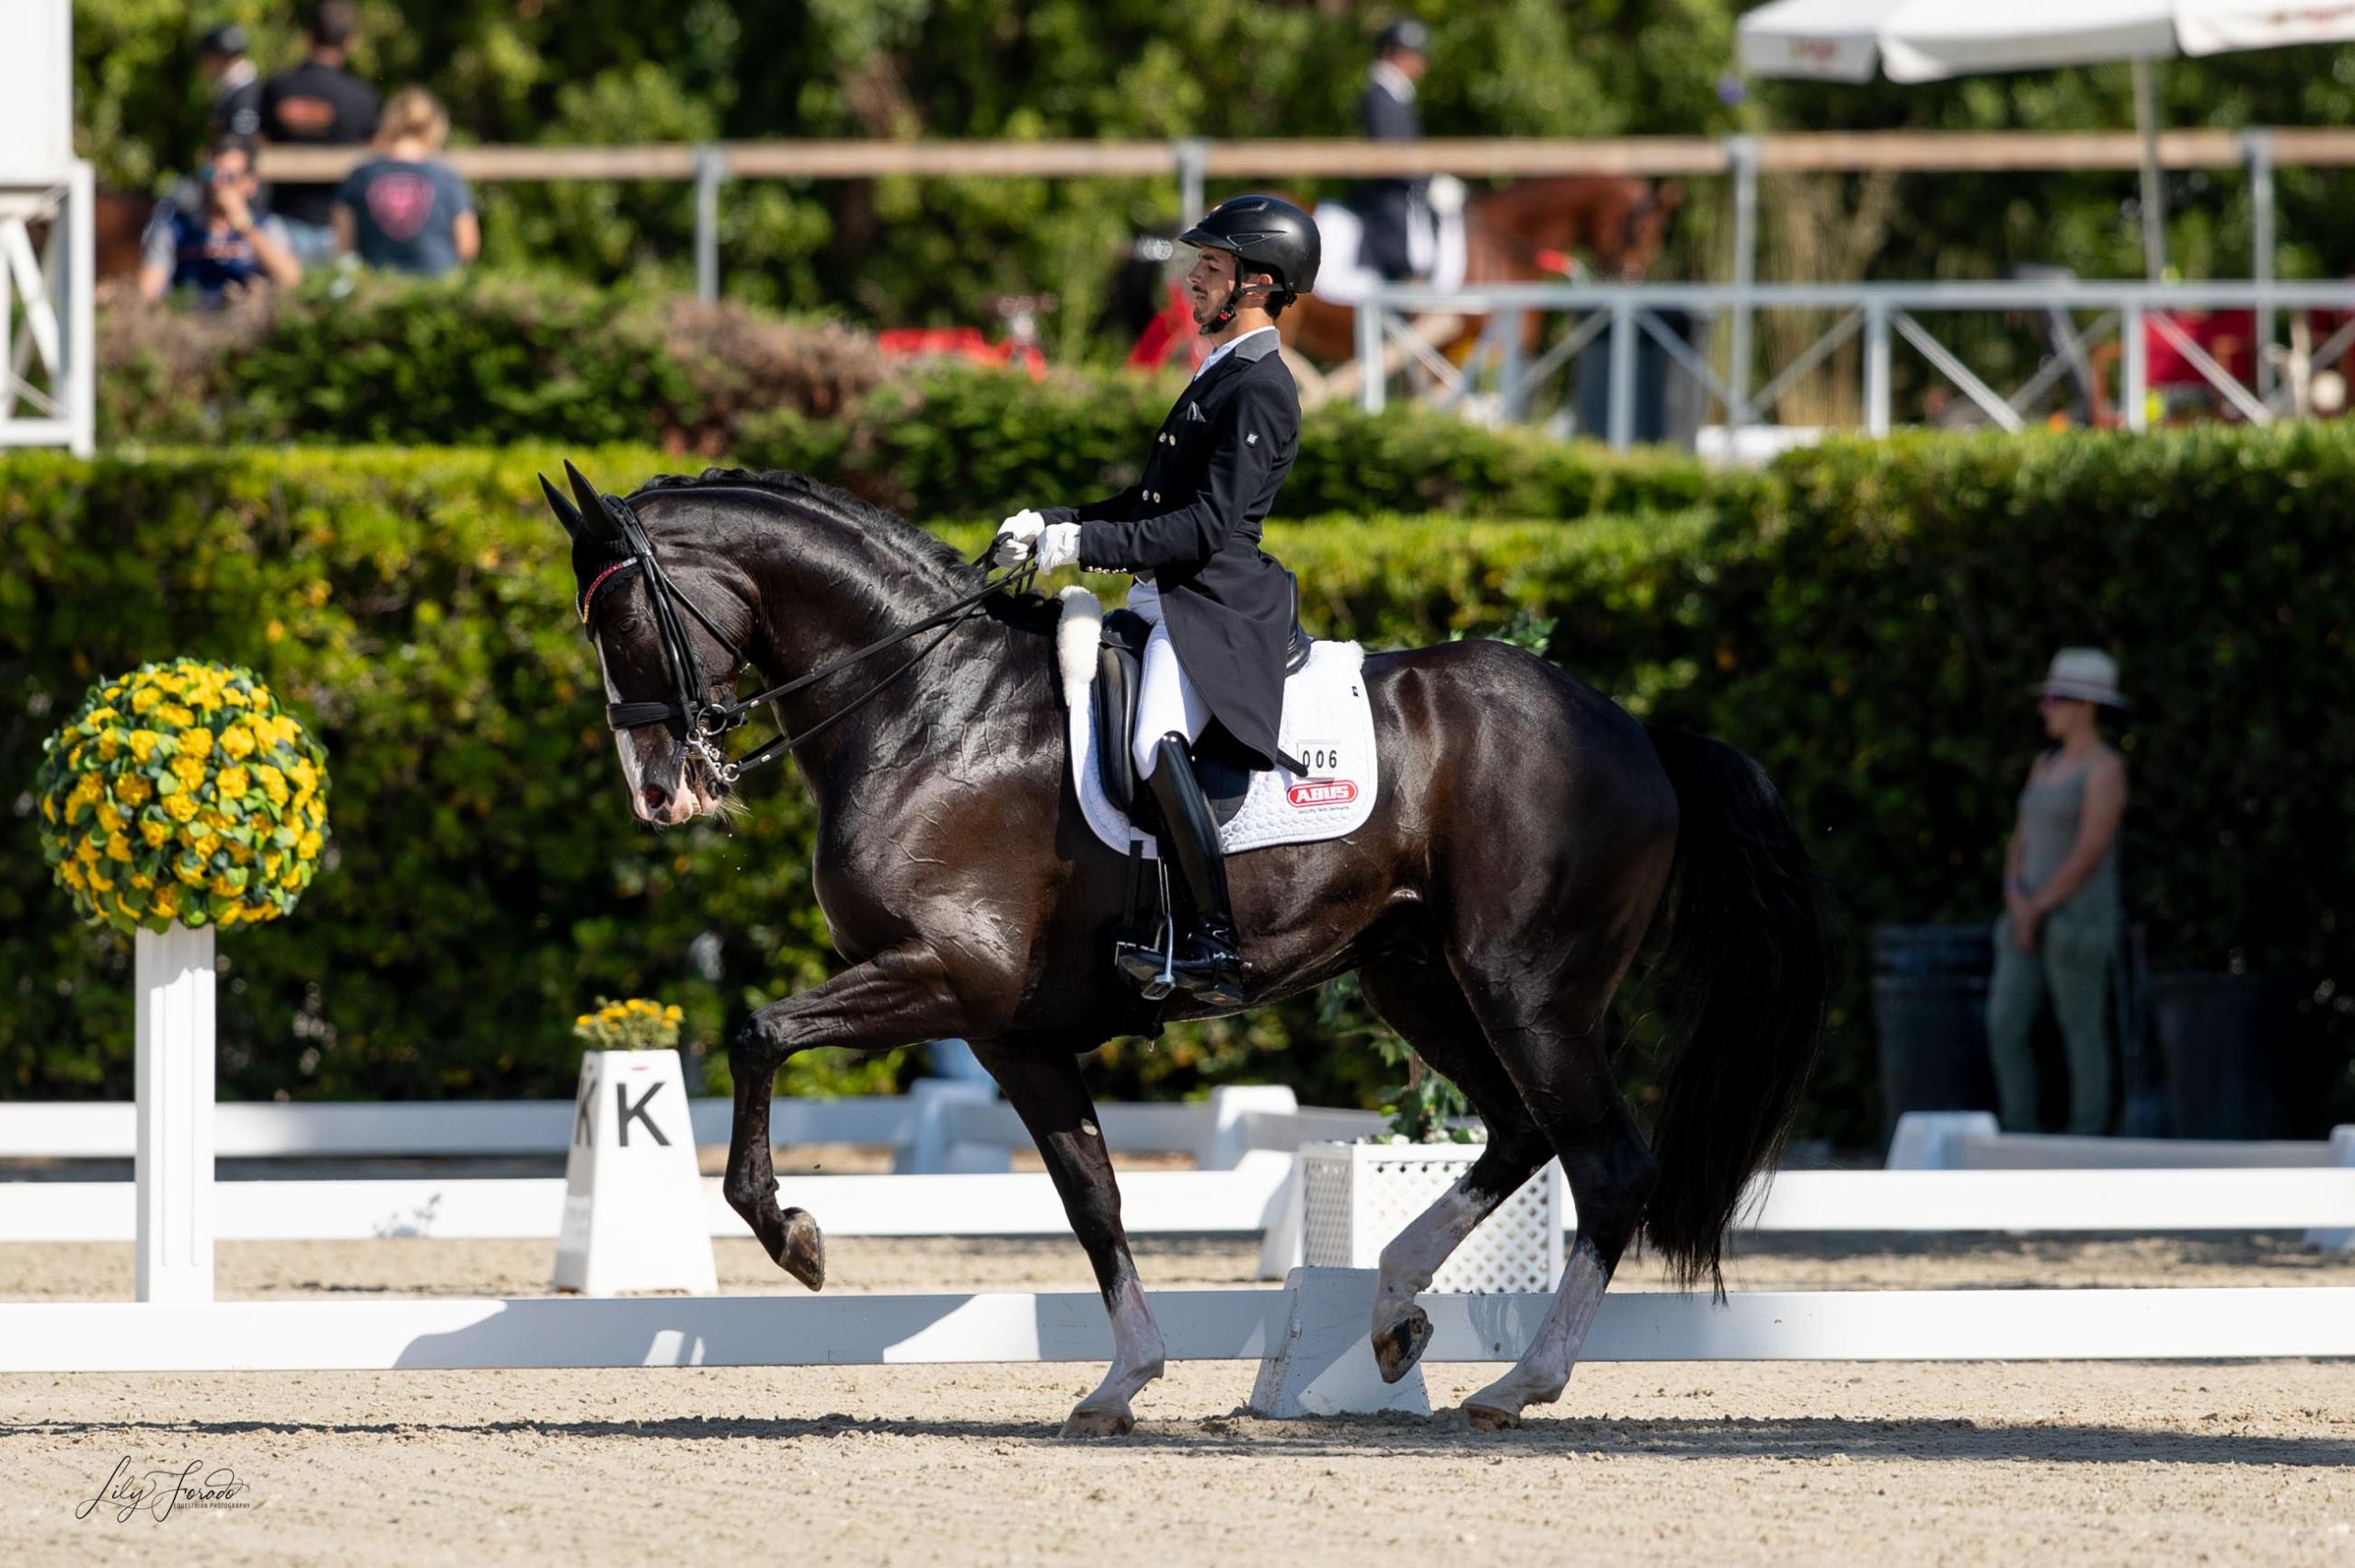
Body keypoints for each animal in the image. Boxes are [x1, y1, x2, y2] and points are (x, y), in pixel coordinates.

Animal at [541, 461, 1827, 1431]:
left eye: (620, 617)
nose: (658, 792)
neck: (926, 706)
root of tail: (1635, 730)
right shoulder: (1008, 1032)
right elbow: (1091, 1196)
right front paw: (1122, 1381)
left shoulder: (947, 977)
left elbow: (759, 1034)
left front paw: (792, 1235)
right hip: (1414, 974)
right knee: (1518, 1131)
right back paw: (1394, 1313)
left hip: (1526, 986)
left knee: (1604, 1161)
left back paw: (1521, 1381)